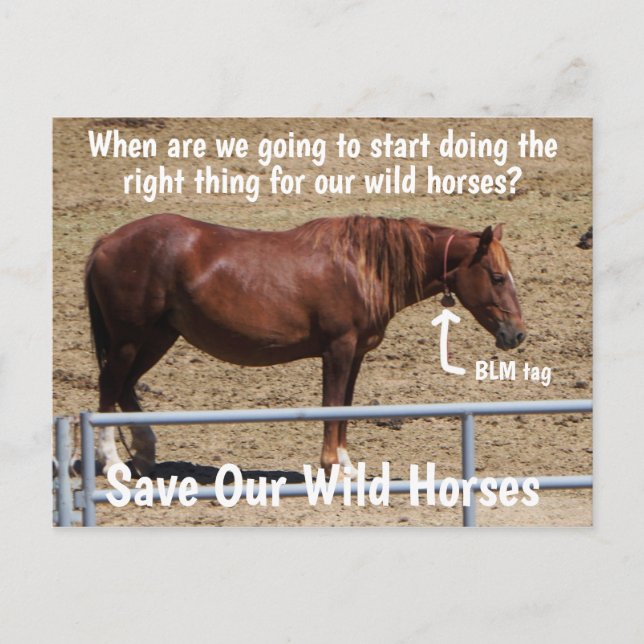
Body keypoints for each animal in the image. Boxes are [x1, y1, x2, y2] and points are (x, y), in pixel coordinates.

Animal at [85, 213, 526, 476]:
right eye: (497, 277)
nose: (517, 334)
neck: (362, 266)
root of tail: (107, 240)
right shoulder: (338, 350)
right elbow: (332, 406)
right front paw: (331, 465)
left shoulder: (355, 353)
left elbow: (345, 407)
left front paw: (346, 465)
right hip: (130, 339)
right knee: (110, 387)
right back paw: (112, 463)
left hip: (157, 337)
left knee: (125, 387)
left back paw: (144, 454)